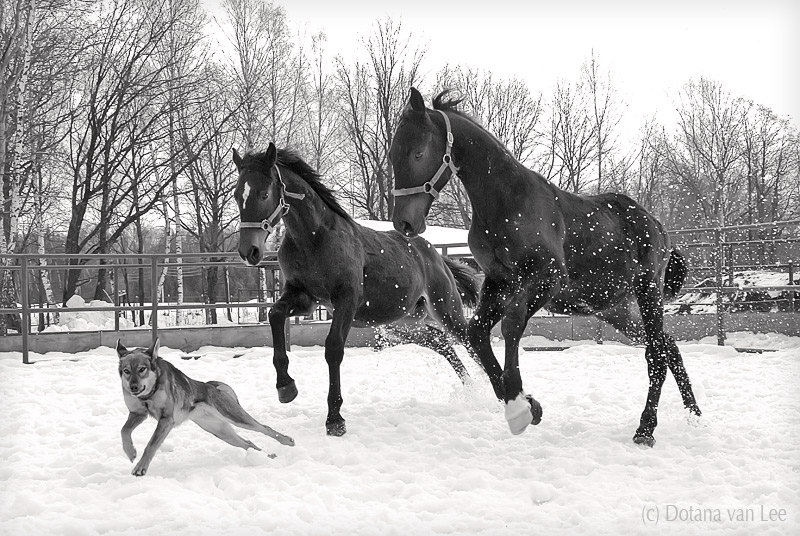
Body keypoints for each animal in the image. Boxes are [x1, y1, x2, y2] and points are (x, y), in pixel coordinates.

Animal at [117, 340, 296, 478]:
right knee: (248, 443)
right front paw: (130, 451)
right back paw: (266, 457)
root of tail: (213, 386)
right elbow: (124, 431)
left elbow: (151, 444)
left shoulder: (166, 420)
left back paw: (286, 440)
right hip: (219, 431)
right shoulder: (137, 413)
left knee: (264, 428)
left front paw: (140, 467)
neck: (148, 395)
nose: (133, 387)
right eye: (126, 371)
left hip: (234, 416)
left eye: (142, 369)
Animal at [231, 142, 482, 436]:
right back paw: (470, 389)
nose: (249, 252)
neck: (313, 239)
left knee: (468, 340)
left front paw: (335, 419)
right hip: (403, 325)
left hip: (445, 310)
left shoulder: (346, 300)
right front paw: (286, 387)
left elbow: (333, 349)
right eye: (237, 195)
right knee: (441, 343)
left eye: (264, 193)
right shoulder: (304, 298)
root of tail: (436, 256)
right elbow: (274, 315)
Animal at [390, 89, 700, 448]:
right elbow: (477, 332)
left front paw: (519, 406)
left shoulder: (545, 279)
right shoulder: (498, 281)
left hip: (648, 291)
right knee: (669, 346)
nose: (404, 223)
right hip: (615, 308)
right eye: (394, 154)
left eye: (418, 152)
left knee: (657, 355)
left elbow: (511, 326)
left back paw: (646, 429)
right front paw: (523, 402)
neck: (507, 201)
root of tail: (658, 226)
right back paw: (695, 416)